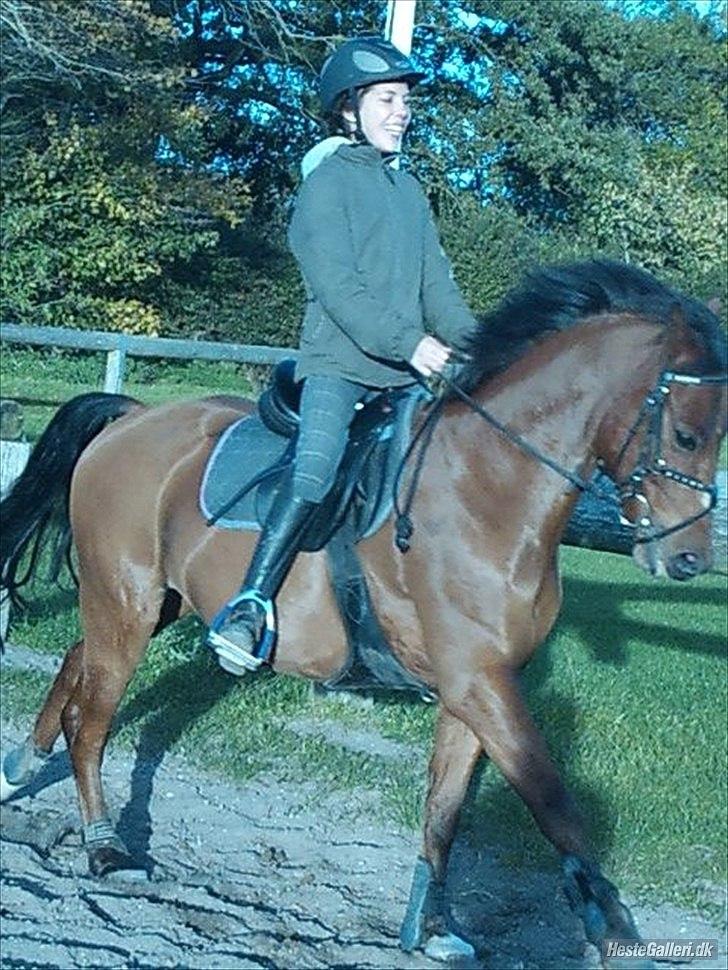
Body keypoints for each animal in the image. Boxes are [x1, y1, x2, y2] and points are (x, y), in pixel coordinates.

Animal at [1, 261, 725, 967]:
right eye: (687, 434)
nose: (689, 559)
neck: (487, 489)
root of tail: (134, 418)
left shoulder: (475, 684)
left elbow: (445, 809)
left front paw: (432, 927)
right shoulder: (479, 682)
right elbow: (554, 801)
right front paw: (610, 923)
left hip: (149, 603)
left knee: (77, 668)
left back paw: (21, 768)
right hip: (125, 600)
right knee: (94, 722)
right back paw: (105, 849)